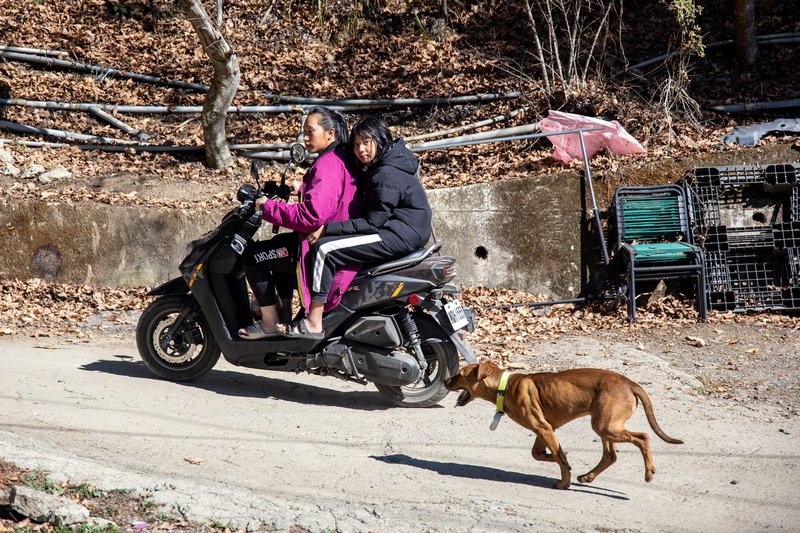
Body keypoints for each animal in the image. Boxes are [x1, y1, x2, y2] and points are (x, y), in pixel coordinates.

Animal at [440, 360, 684, 488]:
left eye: (459, 374)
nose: (443, 380)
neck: (504, 386)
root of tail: (631, 383)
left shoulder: (543, 428)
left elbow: (559, 459)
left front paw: (563, 481)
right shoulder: (545, 429)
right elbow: (540, 454)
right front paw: (553, 457)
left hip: (606, 426)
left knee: (643, 437)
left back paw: (649, 472)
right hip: (605, 425)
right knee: (610, 456)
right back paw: (587, 476)